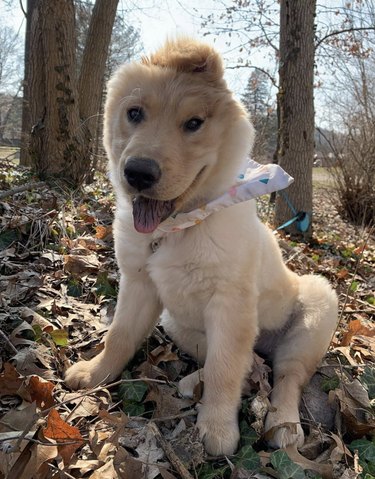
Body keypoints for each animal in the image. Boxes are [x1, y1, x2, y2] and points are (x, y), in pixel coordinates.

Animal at [65, 38, 340, 458]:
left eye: (194, 124)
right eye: (134, 113)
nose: (138, 172)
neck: (177, 226)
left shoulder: (230, 303)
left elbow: (225, 368)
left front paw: (217, 429)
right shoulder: (139, 283)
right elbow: (120, 335)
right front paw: (96, 372)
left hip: (316, 310)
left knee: (286, 374)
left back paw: (284, 424)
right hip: (176, 322)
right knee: (227, 358)